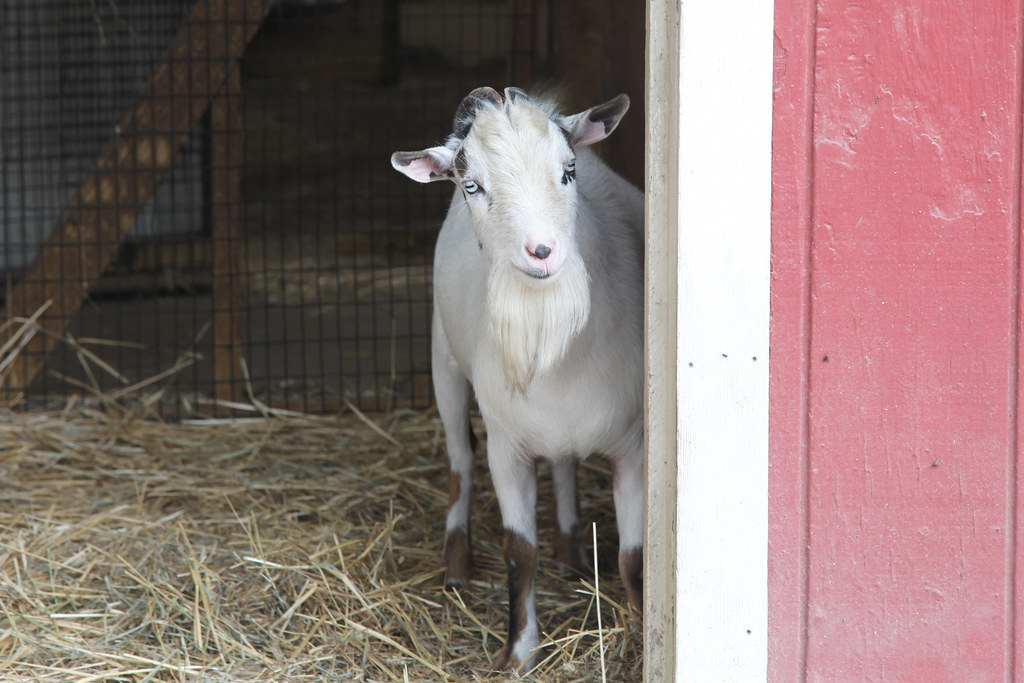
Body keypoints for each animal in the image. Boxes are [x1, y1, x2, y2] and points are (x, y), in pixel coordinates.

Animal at [389, 87, 638, 671]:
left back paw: (571, 552)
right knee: (459, 459)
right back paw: (456, 564)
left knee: (565, 465)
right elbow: (519, 551)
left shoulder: (633, 444)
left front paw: (642, 635)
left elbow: (632, 558)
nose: (542, 251)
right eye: (472, 185)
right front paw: (519, 652)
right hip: (443, 358)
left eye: (568, 171)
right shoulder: (507, 446)